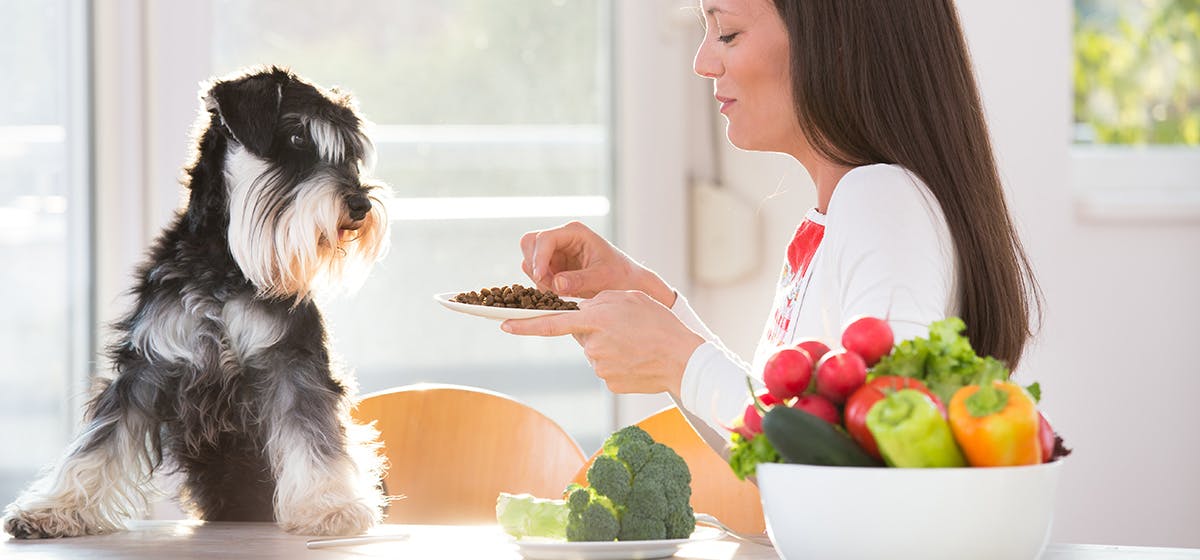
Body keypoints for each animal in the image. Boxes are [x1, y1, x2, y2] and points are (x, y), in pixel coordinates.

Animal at [1, 65, 388, 539]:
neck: (223, 265)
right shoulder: (147, 363)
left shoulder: (290, 359)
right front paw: (53, 509)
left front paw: (330, 506)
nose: (360, 204)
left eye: (349, 153)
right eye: (297, 137)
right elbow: (99, 440)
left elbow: (314, 432)